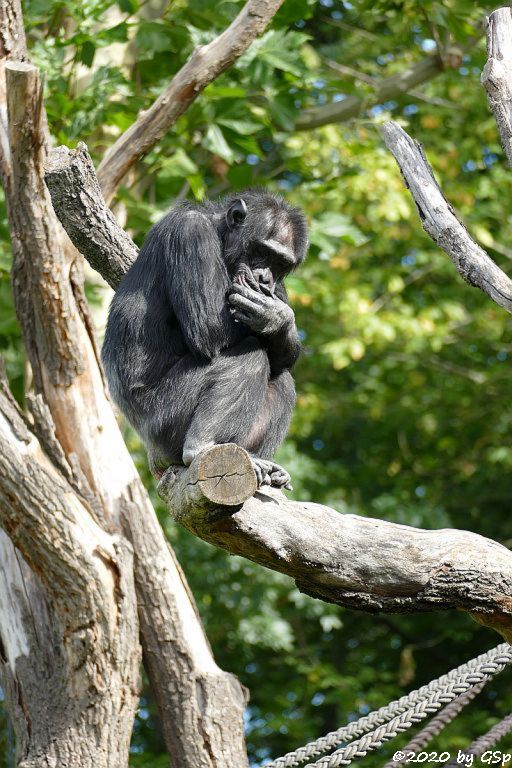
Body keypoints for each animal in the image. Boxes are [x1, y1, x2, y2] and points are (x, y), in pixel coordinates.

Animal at [102, 189, 306, 488]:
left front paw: (279, 318)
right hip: (164, 419)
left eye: (281, 263)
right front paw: (276, 316)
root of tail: (156, 459)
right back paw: (201, 447)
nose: (264, 278)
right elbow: (210, 327)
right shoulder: (191, 233)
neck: (220, 237)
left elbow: (282, 357)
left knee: (282, 378)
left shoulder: (277, 289)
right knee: (250, 356)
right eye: (263, 252)